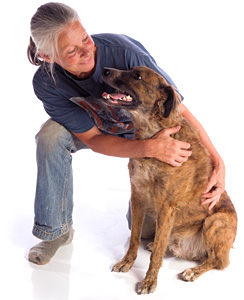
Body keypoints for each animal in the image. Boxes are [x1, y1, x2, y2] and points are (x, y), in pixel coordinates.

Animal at [100, 67, 236, 294]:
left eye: (137, 76)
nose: (105, 70)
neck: (153, 133)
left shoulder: (166, 207)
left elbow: (155, 257)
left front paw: (149, 281)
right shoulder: (137, 197)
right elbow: (134, 238)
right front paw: (127, 262)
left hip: (215, 221)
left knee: (219, 260)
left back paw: (193, 271)